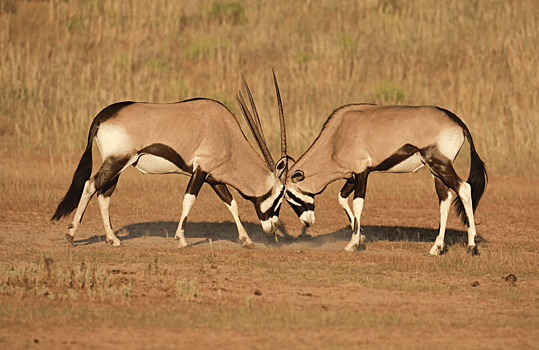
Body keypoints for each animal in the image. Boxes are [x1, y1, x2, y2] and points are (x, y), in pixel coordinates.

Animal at [52, 78, 288, 250]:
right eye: (280, 196)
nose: (273, 227)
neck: (228, 134)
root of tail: (103, 115)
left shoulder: (213, 178)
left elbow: (231, 203)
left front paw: (246, 239)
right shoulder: (201, 171)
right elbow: (189, 200)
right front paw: (181, 239)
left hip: (117, 167)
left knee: (103, 195)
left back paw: (113, 239)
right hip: (115, 162)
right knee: (90, 186)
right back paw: (71, 235)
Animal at [286, 104, 490, 254]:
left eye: (288, 194)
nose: (307, 222)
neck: (336, 137)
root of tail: (457, 122)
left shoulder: (362, 172)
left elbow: (358, 203)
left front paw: (353, 244)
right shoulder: (352, 176)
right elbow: (341, 198)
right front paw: (360, 237)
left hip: (441, 165)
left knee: (464, 188)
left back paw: (471, 246)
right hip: (436, 171)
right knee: (445, 199)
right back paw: (436, 248)